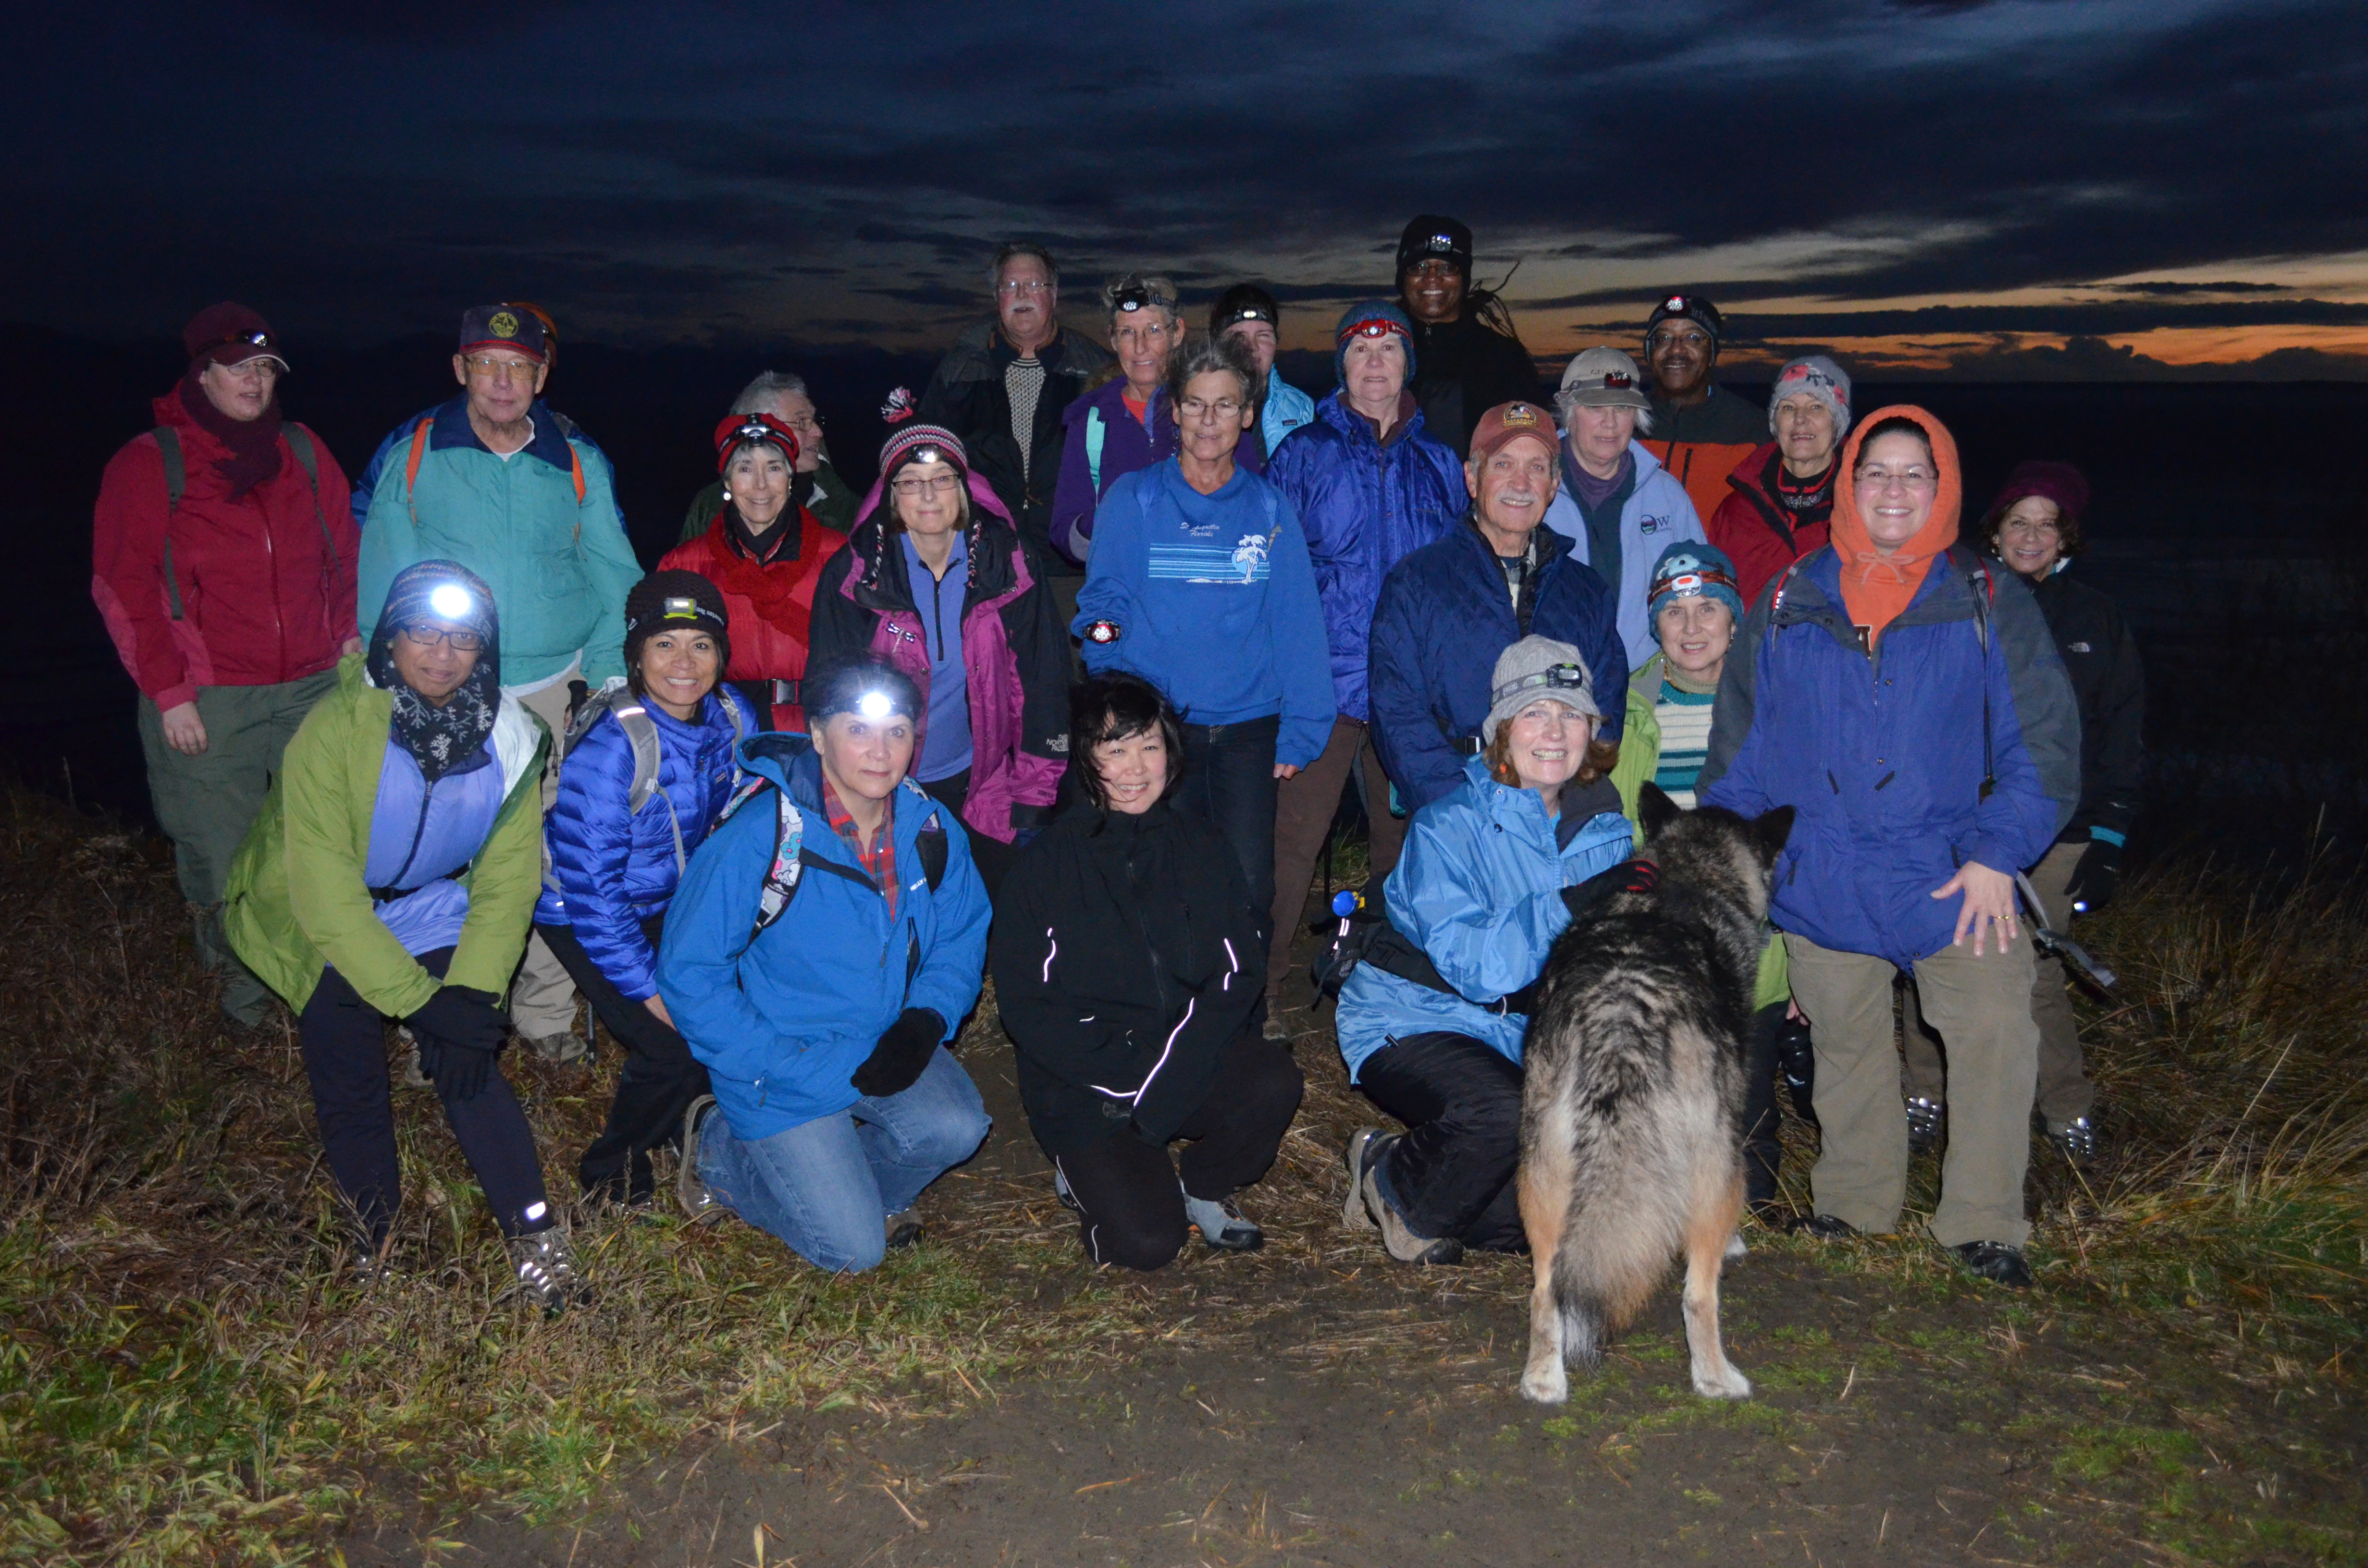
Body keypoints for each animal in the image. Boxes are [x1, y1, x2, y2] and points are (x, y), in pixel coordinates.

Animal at [1516, 783, 1794, 1403]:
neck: (1689, 872)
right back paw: (1715, 1377)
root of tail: (1621, 1002)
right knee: (1697, 1295)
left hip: (1542, 1169)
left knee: (1546, 1291)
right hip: (1715, 1159)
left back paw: (1543, 1380)